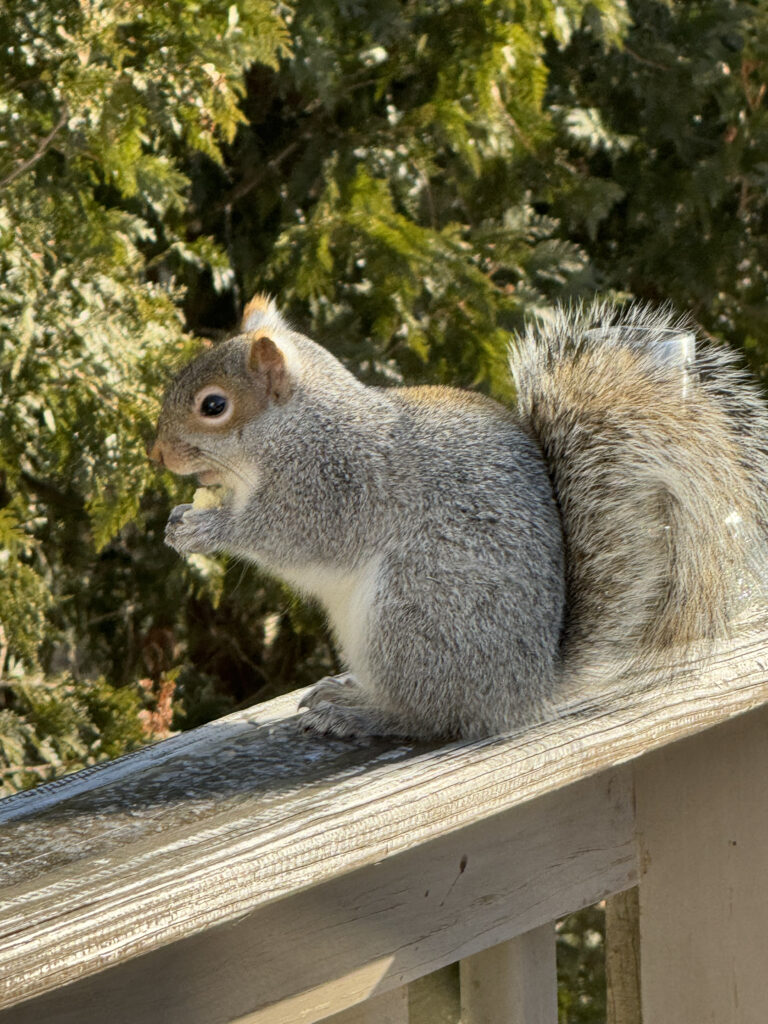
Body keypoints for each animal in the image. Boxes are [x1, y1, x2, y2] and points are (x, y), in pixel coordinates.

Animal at [150, 295, 768, 741]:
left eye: (213, 406)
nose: (158, 455)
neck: (294, 429)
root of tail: (524, 690)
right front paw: (181, 516)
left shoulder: (332, 484)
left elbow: (287, 536)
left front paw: (206, 530)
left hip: (412, 616)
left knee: (430, 717)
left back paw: (360, 712)